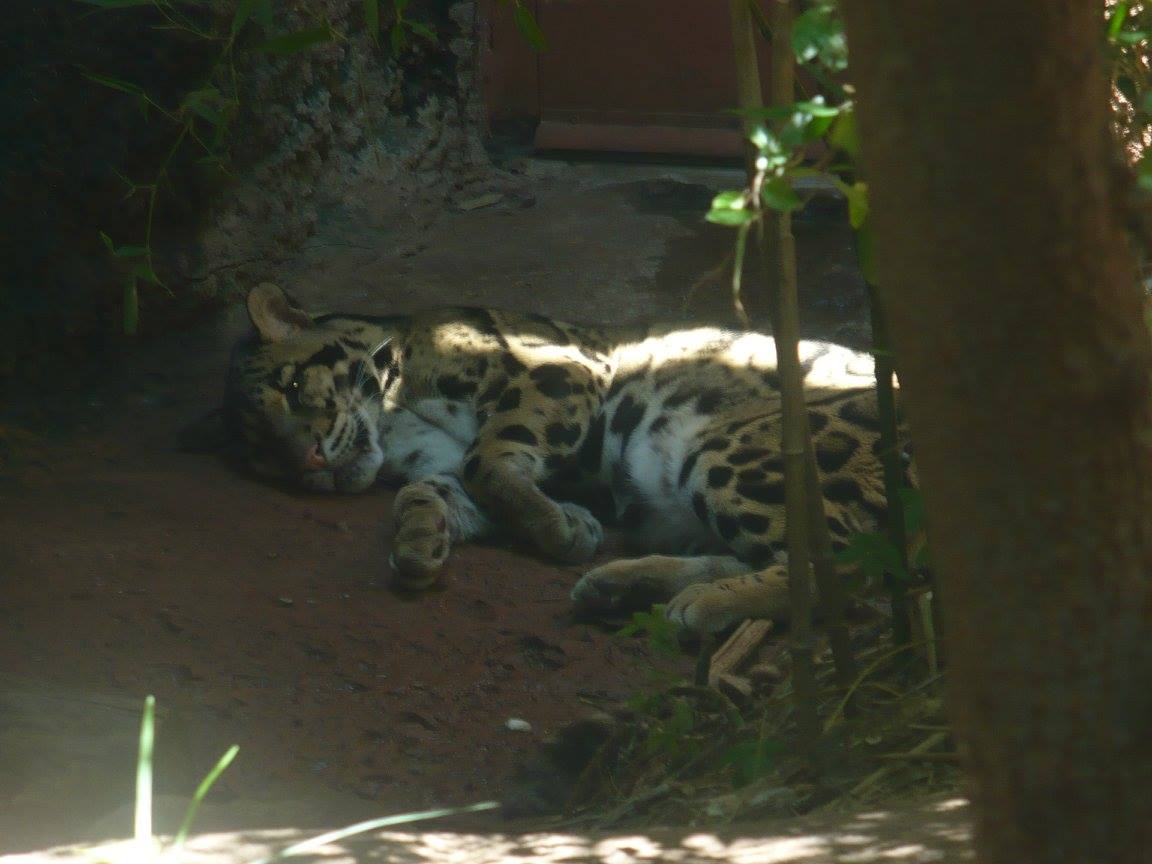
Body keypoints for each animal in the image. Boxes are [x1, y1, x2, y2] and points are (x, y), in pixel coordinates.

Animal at [222, 282, 896, 634]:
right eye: (265, 457)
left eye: (291, 388)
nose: (308, 463)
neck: (392, 409)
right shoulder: (441, 461)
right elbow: (433, 489)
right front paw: (418, 542)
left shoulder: (553, 372)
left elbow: (487, 459)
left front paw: (557, 527)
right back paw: (628, 587)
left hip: (736, 448)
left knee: (848, 571)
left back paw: (699, 603)